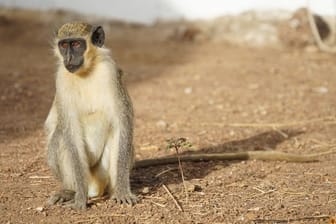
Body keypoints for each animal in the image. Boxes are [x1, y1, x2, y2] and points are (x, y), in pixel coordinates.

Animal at [44, 21, 136, 209]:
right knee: (61, 136)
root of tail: (94, 187)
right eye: (63, 45)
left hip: (101, 174)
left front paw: (123, 191)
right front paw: (80, 198)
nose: (68, 58)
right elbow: (70, 131)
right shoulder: (61, 78)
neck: (86, 72)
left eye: (76, 44)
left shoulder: (110, 71)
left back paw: (115, 191)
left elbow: (123, 123)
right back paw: (70, 191)